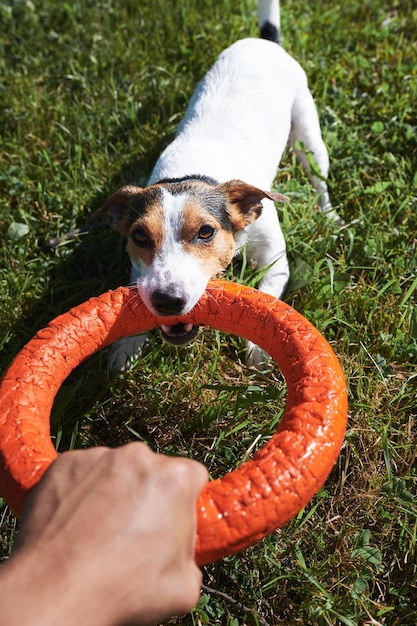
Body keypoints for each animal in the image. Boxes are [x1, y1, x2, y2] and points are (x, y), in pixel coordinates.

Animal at [98, 0, 338, 368]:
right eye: (139, 236)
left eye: (206, 232)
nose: (167, 300)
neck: (194, 172)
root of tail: (263, 41)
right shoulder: (140, 271)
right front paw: (126, 345)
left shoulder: (275, 263)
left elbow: (267, 297)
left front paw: (260, 350)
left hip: (308, 134)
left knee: (319, 178)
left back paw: (328, 215)